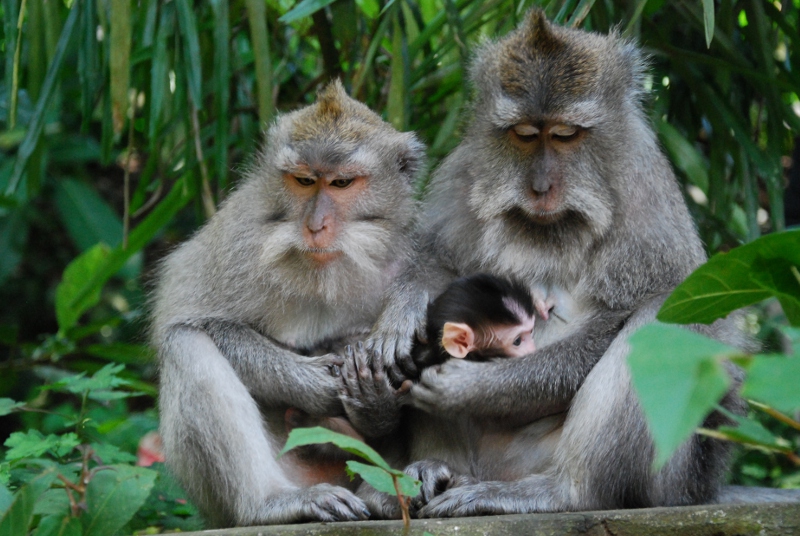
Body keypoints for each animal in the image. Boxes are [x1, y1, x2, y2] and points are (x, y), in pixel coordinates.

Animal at [151, 80, 425, 527]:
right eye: (303, 181)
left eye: (341, 184)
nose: (315, 225)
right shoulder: (241, 236)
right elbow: (188, 323)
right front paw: (317, 385)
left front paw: (405, 312)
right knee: (186, 346)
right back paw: (272, 503)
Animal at [361, 10, 751, 518]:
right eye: (525, 135)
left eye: (565, 134)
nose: (541, 186)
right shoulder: (466, 170)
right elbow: (439, 262)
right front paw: (401, 316)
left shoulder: (645, 188)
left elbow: (650, 306)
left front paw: (479, 388)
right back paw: (429, 470)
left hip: (676, 478)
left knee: (666, 320)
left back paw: (562, 491)